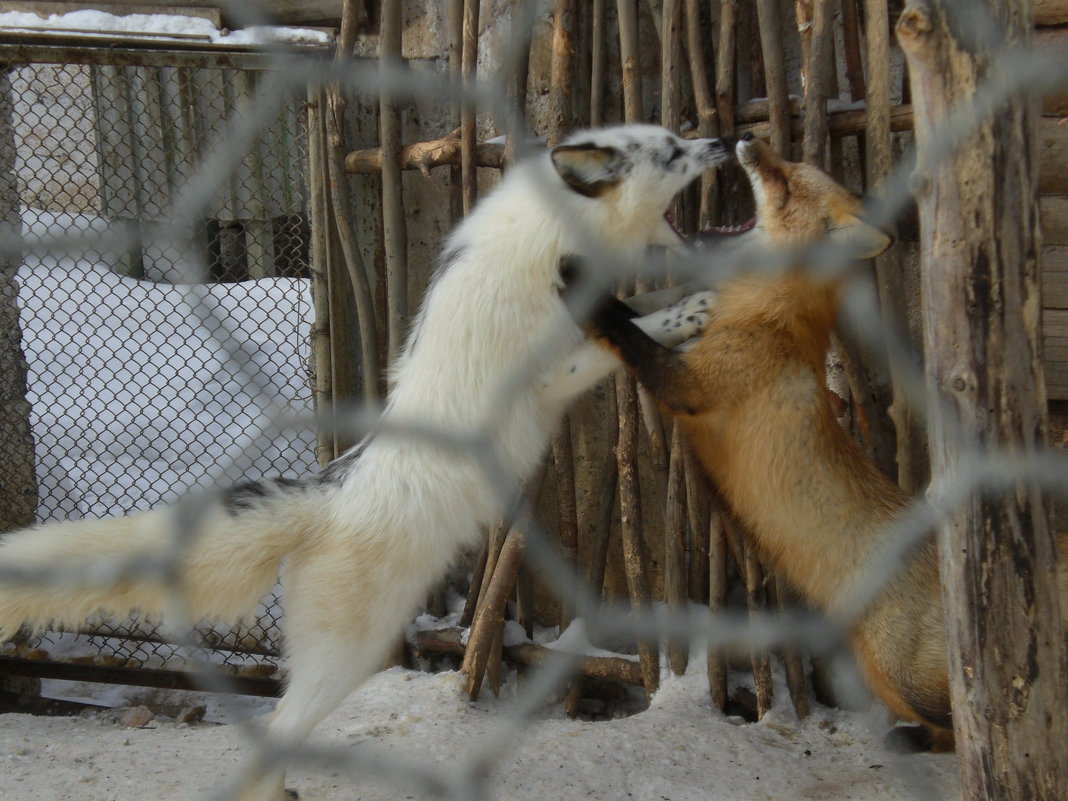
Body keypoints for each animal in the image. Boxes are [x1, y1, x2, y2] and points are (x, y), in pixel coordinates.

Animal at [0, 122, 734, 798]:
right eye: (672, 152)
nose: (723, 141)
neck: (553, 239)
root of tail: (328, 490)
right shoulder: (553, 373)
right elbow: (635, 332)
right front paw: (695, 309)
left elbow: (635, 310)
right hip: (348, 654)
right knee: (273, 730)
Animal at [580, 135, 1068, 756]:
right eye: (784, 165)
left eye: (785, 183)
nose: (743, 139)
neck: (762, 308)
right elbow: (642, 316)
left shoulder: (690, 386)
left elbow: (627, 333)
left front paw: (580, 291)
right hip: (880, 674)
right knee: (945, 730)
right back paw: (907, 739)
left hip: (906, 674)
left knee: (969, 722)